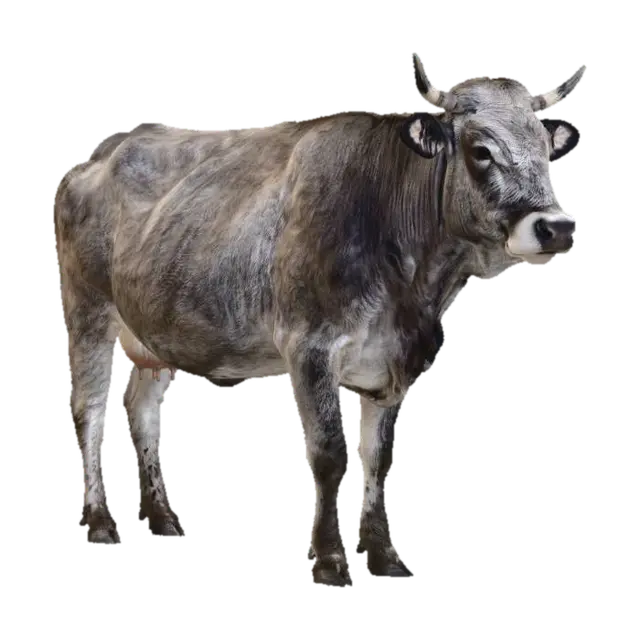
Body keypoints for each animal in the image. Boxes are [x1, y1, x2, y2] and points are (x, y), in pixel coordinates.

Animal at [55, 57, 586, 587]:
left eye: (548, 150)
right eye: (480, 150)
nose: (557, 227)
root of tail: (106, 151)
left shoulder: (393, 359)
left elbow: (378, 456)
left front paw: (384, 558)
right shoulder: (309, 345)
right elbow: (329, 453)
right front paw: (331, 562)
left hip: (154, 330)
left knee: (143, 413)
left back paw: (164, 521)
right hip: (87, 312)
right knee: (91, 409)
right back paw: (100, 525)